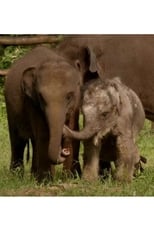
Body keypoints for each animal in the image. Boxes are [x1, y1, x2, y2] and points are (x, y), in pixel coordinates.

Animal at [4, 45, 96, 182]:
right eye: (41, 97)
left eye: (69, 96)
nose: (64, 151)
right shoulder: (32, 102)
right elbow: (44, 134)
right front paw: (46, 181)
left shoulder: (75, 104)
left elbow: (73, 131)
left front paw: (70, 178)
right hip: (10, 108)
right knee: (17, 141)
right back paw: (16, 178)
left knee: (33, 142)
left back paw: (33, 176)